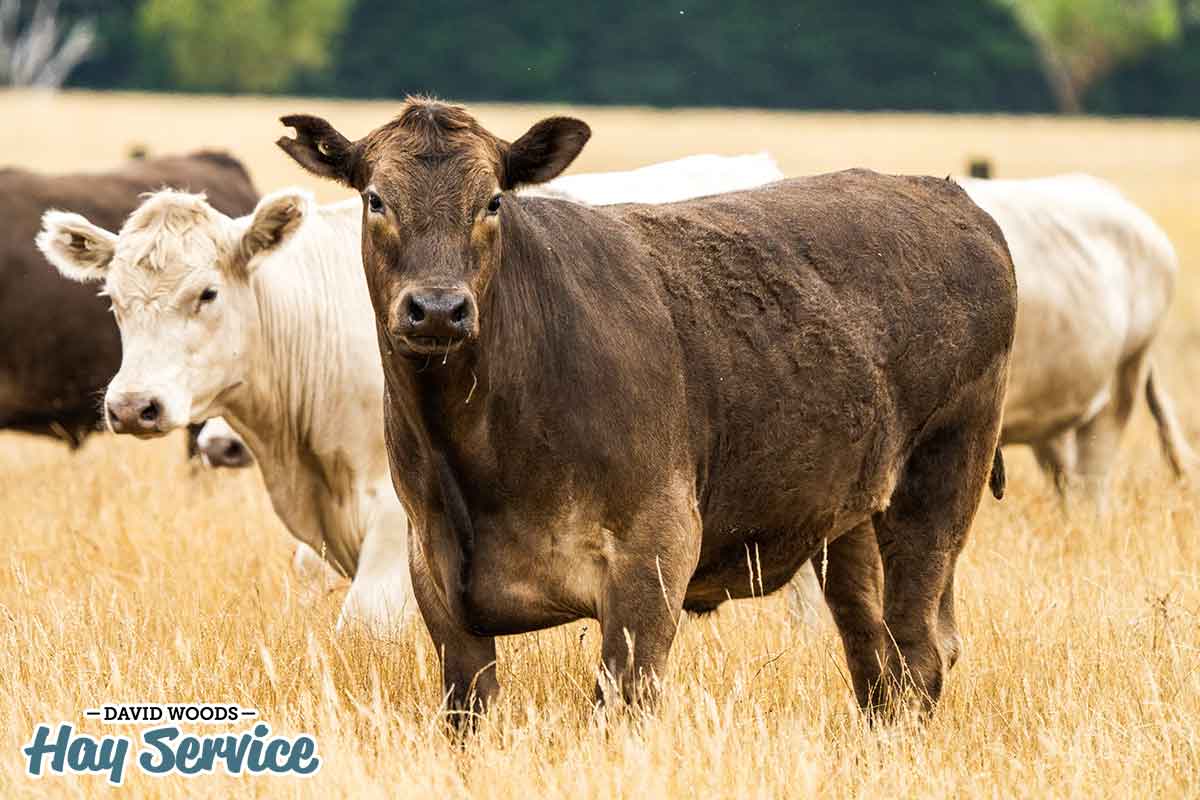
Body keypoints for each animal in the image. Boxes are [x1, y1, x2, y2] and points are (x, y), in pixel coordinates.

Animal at [276, 98, 1017, 719]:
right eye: (376, 199)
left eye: (492, 201)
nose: (437, 308)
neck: (477, 459)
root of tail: (945, 192)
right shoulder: (434, 574)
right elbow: (468, 708)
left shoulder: (654, 552)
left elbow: (621, 705)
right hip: (850, 516)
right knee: (873, 651)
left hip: (942, 476)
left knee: (920, 649)